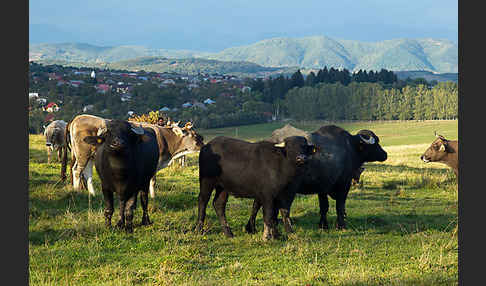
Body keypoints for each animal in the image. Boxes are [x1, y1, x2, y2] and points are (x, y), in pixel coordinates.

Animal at [247, 125, 388, 232]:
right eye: (376, 143)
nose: (385, 154)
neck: (350, 148)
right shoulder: (344, 184)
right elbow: (339, 206)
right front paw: (341, 226)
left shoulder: (322, 187)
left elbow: (324, 207)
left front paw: (323, 225)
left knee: (256, 204)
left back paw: (251, 227)